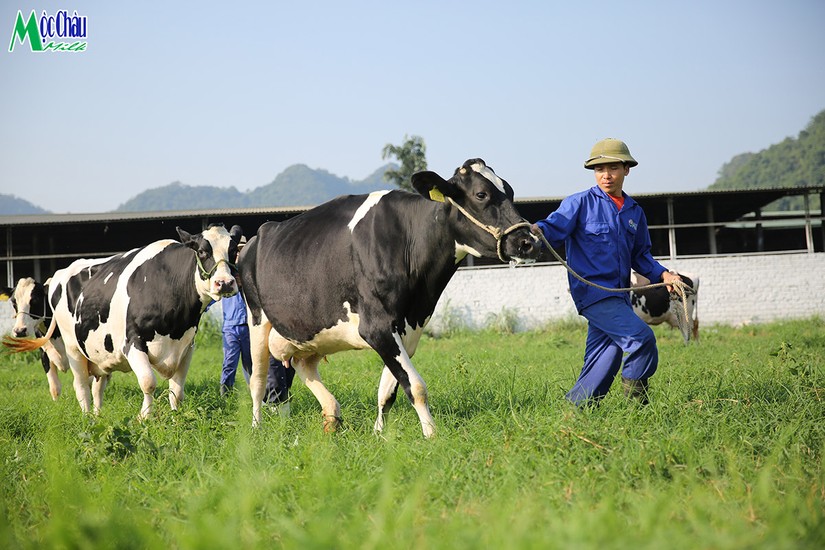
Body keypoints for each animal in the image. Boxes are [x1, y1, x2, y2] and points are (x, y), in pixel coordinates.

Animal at [4, 224, 241, 418]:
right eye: (202, 251)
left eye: (233, 251)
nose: (225, 283)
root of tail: (59, 274)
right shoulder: (133, 342)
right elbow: (148, 382)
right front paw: (145, 417)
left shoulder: (186, 347)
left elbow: (177, 390)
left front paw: (177, 419)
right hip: (74, 348)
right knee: (80, 385)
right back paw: (87, 419)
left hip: (99, 353)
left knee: (96, 388)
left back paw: (98, 416)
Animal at [237, 160, 540, 440]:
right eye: (481, 194)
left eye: (510, 191)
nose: (528, 242)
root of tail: (256, 236)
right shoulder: (376, 327)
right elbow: (415, 386)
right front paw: (432, 435)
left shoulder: (408, 328)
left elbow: (388, 390)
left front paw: (379, 434)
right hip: (256, 318)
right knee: (258, 381)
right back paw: (256, 428)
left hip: (308, 330)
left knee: (304, 365)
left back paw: (332, 417)